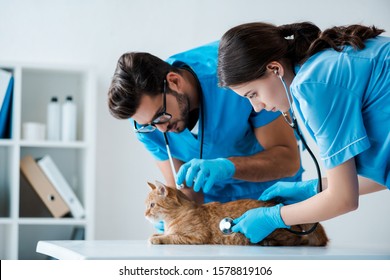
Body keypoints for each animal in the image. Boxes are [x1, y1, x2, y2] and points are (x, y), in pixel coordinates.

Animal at [145, 182, 328, 245]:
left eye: (152, 205)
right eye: (146, 205)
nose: (145, 214)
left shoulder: (197, 236)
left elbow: (172, 237)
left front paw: (157, 239)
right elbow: (164, 233)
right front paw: (156, 234)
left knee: (299, 239)